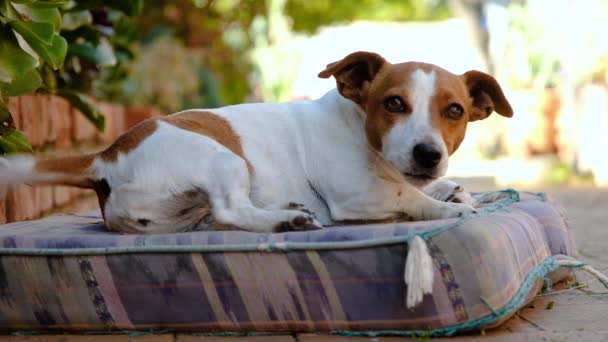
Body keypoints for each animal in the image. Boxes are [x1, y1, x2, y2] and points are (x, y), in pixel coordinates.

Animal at [0, 51, 512, 235]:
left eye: (454, 111)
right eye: (394, 103)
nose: (428, 154)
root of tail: (106, 157)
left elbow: (432, 188)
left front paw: (455, 191)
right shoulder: (358, 196)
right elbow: (411, 197)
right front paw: (448, 208)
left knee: (220, 217)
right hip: (223, 159)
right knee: (230, 210)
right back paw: (288, 219)